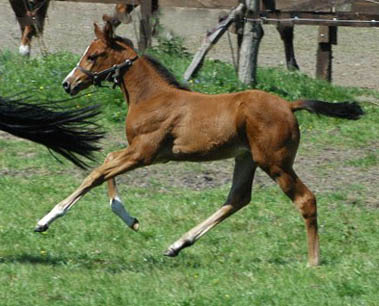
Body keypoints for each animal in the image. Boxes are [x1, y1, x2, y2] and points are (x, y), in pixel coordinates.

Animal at [35, 20, 366, 266]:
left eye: (93, 55)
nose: (68, 83)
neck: (152, 96)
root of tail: (289, 104)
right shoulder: (143, 153)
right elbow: (106, 164)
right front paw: (131, 220)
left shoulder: (144, 153)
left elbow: (96, 173)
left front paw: (45, 220)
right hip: (246, 158)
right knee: (238, 198)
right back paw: (177, 244)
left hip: (275, 163)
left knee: (305, 199)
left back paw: (313, 261)